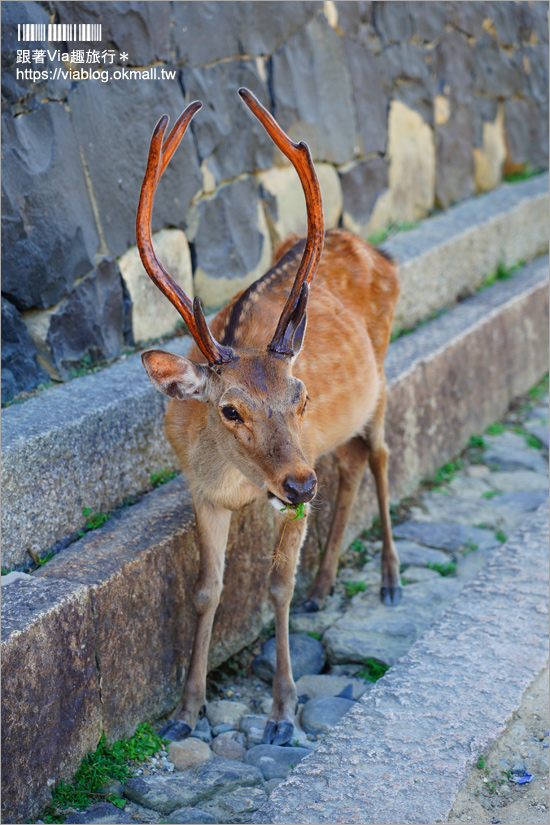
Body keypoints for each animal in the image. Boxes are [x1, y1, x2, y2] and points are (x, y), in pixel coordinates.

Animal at [139, 90, 402, 748]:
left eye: (299, 395)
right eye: (229, 408)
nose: (300, 484)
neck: (240, 483)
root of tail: (380, 251)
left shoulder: (291, 488)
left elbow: (275, 586)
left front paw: (283, 714)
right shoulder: (200, 493)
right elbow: (206, 591)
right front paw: (185, 712)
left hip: (382, 374)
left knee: (381, 454)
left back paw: (390, 580)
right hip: (336, 435)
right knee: (351, 463)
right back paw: (323, 587)